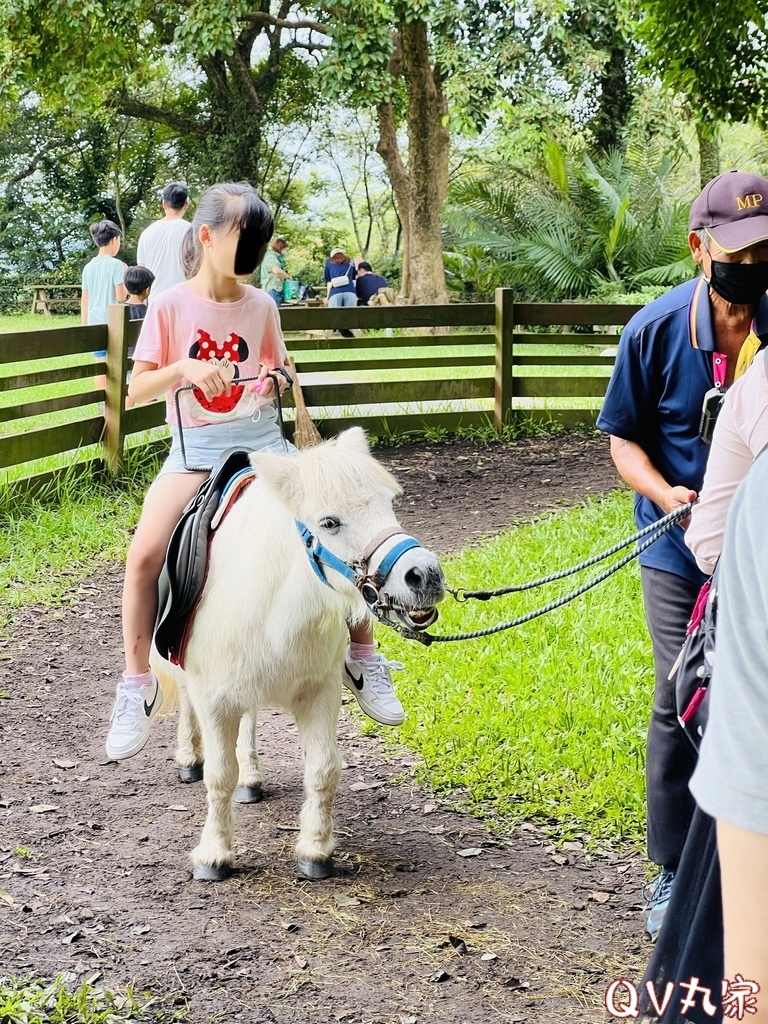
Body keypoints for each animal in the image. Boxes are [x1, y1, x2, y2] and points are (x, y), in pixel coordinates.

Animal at [154, 428, 444, 884]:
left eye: (390, 501)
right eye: (329, 522)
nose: (425, 575)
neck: (271, 603)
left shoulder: (319, 691)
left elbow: (323, 769)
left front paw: (315, 850)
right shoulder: (215, 698)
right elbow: (218, 776)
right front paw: (214, 854)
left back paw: (251, 778)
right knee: (186, 705)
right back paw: (188, 757)